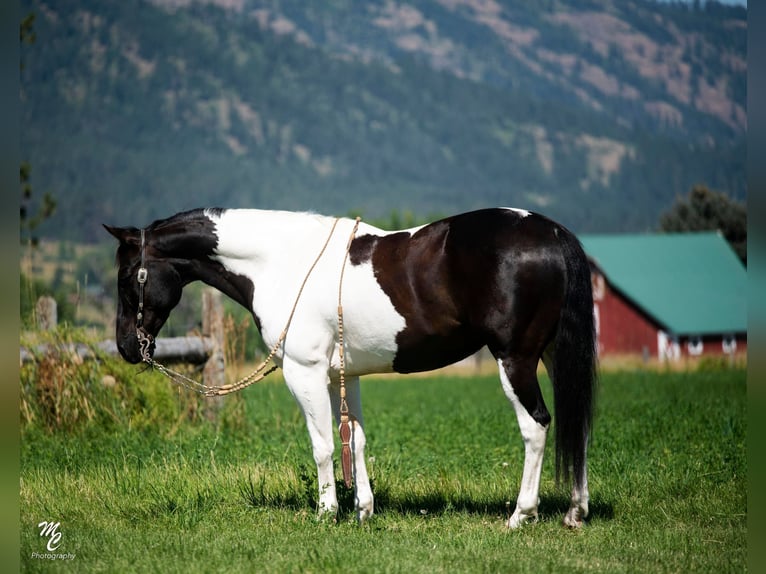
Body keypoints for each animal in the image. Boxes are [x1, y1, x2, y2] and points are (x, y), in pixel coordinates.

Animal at [106, 208, 600, 532]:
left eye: (129, 277)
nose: (127, 347)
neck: (281, 262)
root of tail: (550, 231)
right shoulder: (342, 375)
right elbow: (355, 440)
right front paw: (363, 509)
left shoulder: (303, 372)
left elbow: (323, 445)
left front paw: (327, 513)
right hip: (553, 354)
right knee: (576, 425)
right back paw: (575, 513)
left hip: (515, 358)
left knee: (537, 426)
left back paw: (520, 515)